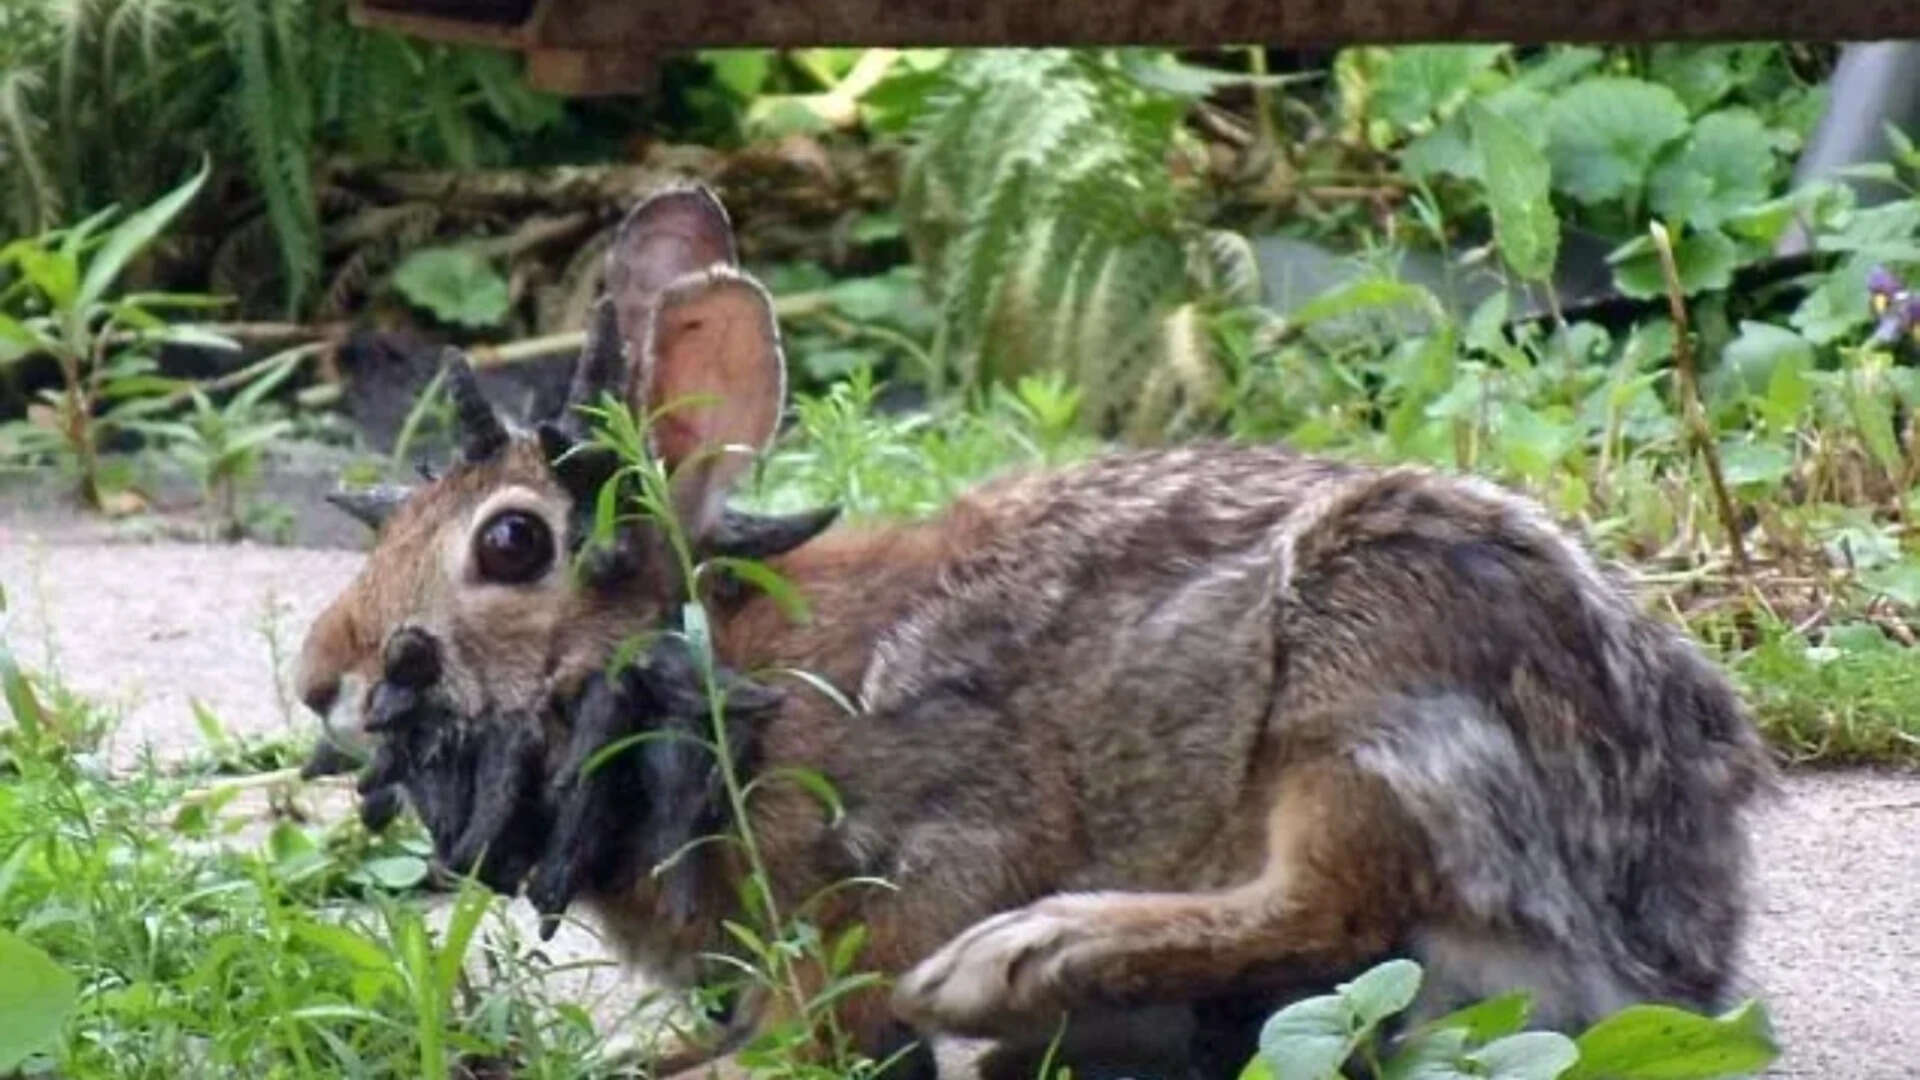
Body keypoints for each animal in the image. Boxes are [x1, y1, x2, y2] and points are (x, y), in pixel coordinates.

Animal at [293, 184, 1776, 1079]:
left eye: (510, 546)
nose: (317, 680)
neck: (713, 670)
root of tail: (1669, 930)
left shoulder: (924, 842)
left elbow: (833, 1001)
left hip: (1365, 684)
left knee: (1324, 900)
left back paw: (1018, 969)